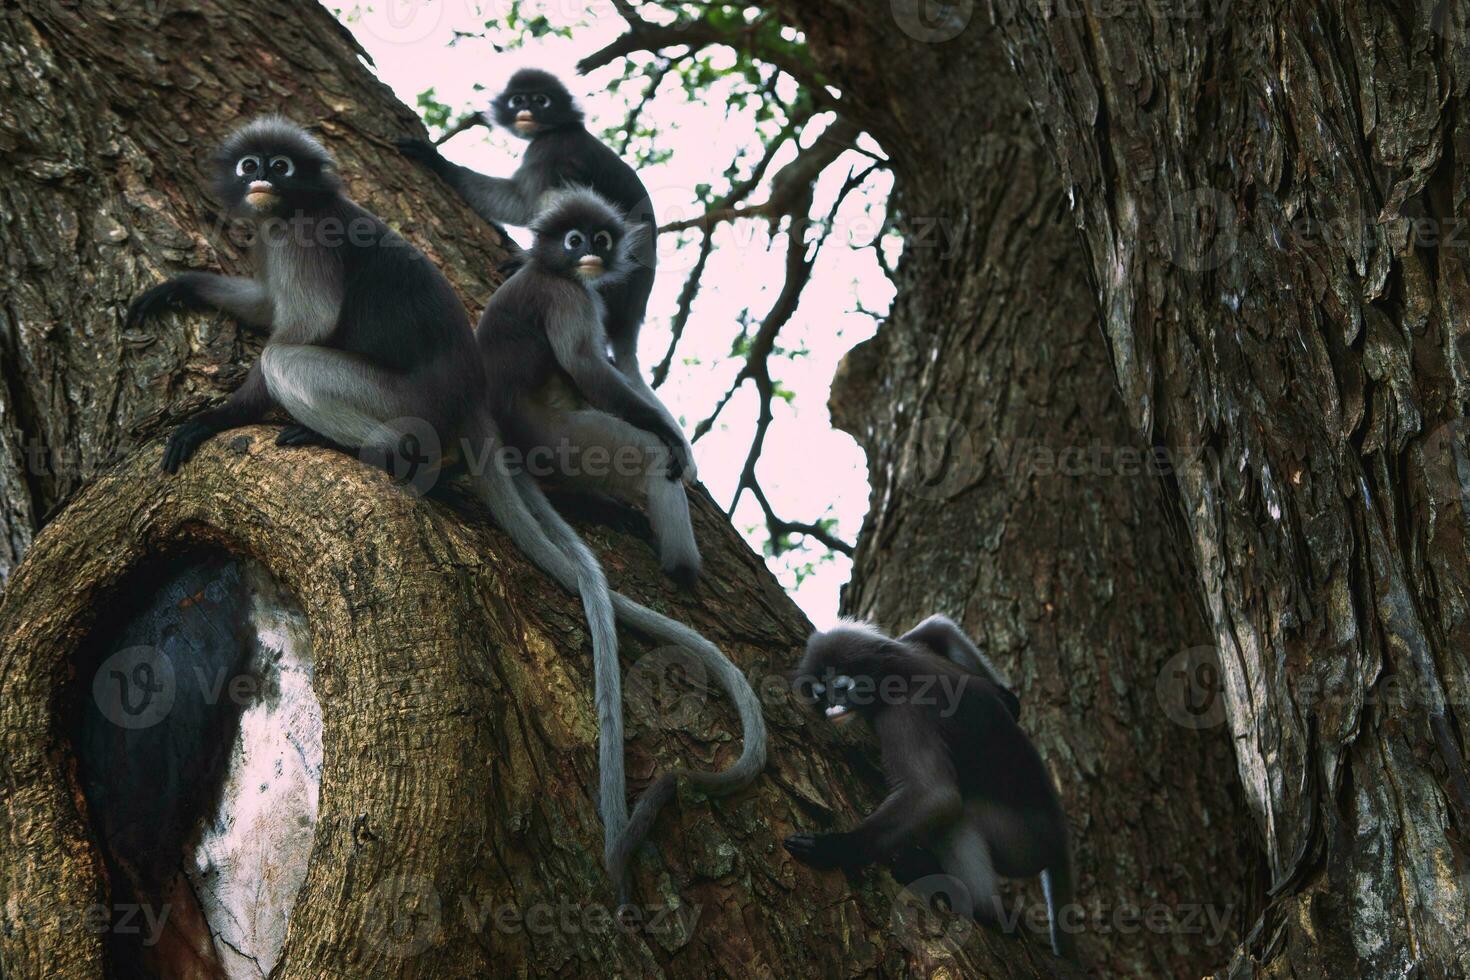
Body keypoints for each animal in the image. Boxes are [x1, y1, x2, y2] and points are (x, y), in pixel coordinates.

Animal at [782, 617, 1081, 963]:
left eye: (842, 687)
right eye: (822, 693)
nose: (833, 705)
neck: (897, 670)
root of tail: (1060, 835)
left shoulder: (903, 712)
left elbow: (935, 795)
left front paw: (836, 848)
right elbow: (938, 626)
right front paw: (1006, 698)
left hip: (1024, 842)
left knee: (962, 812)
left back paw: (971, 898)